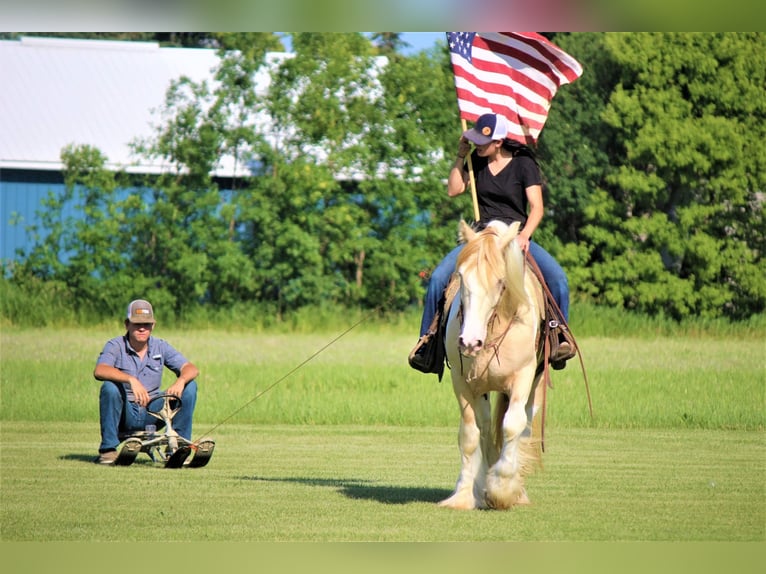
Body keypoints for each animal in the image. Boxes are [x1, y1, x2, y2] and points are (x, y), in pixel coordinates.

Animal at [440, 222, 548, 512]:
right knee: (486, 426)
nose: (469, 342)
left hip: (535, 384)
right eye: (461, 277)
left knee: (524, 424)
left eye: (501, 281)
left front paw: (502, 489)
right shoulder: (462, 382)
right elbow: (469, 434)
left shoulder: (523, 376)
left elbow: (512, 426)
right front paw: (464, 494)